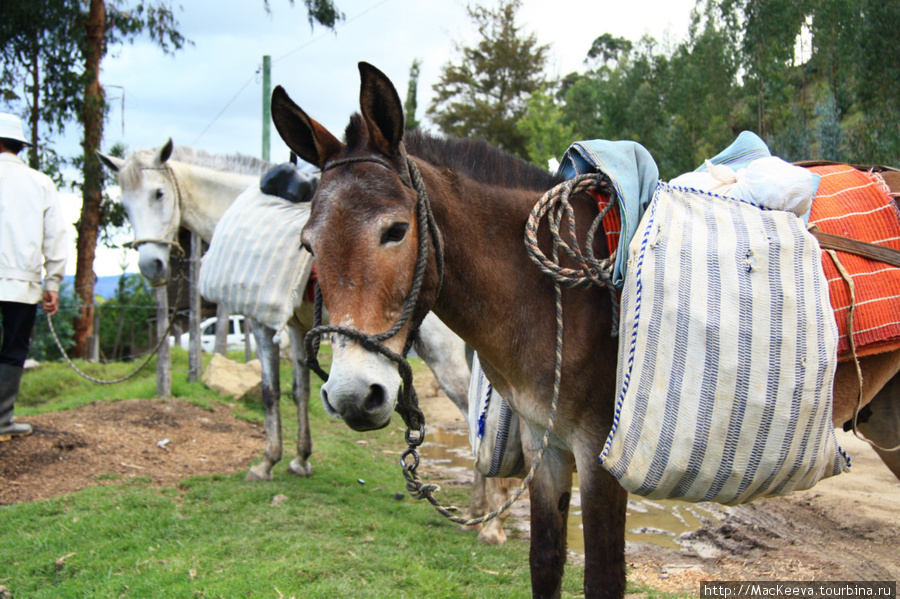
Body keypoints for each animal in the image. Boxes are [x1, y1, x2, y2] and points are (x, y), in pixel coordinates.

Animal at [98, 141, 512, 544]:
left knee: (474, 414)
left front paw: (267, 462)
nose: (151, 265)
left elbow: (270, 392)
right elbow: (299, 391)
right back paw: (478, 511)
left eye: (158, 193)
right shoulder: (298, 330)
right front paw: (300, 459)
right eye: (125, 203)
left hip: (442, 354)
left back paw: (489, 522)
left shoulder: (261, 323)